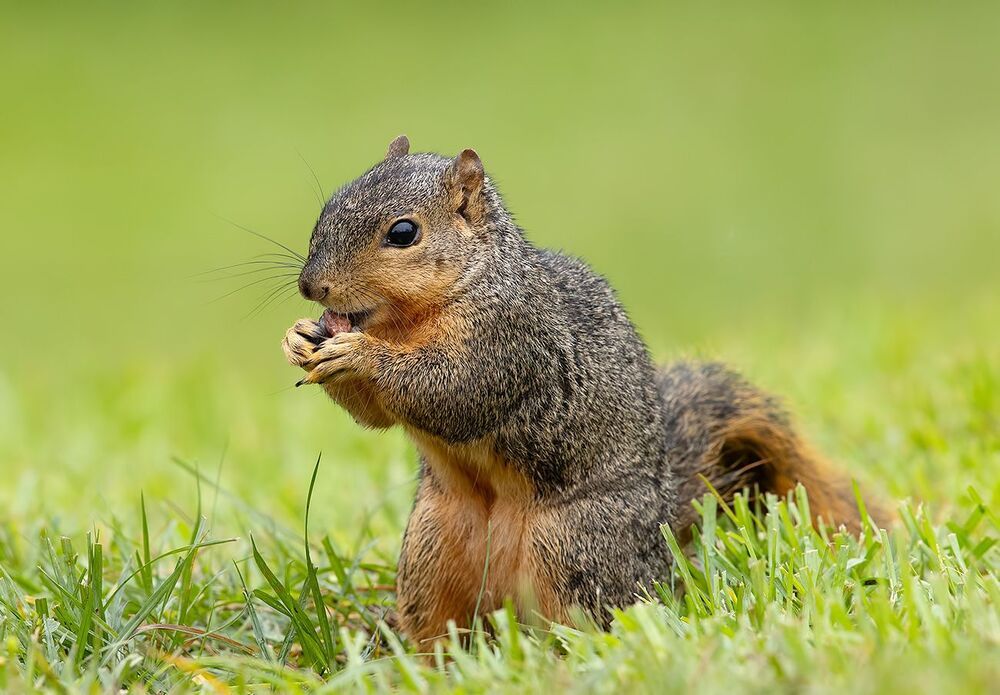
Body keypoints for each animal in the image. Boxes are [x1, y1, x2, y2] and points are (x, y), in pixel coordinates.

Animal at [281, 135, 887, 647]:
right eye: (329, 207)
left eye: (403, 233)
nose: (312, 287)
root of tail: (659, 541)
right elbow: (379, 414)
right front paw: (298, 338)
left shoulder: (514, 342)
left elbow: (453, 391)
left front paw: (360, 355)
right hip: (432, 549)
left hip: (574, 547)